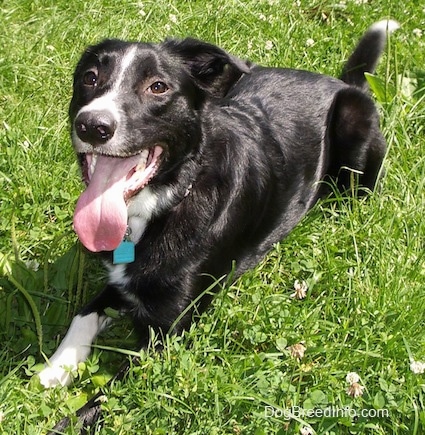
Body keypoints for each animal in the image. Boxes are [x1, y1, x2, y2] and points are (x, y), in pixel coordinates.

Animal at [39, 19, 398, 392]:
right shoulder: (121, 283)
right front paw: (57, 365)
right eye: (90, 77)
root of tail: (342, 82)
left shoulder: (166, 332)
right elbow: (82, 315)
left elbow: (102, 399)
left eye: (158, 87)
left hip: (353, 121)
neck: (165, 202)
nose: (92, 126)